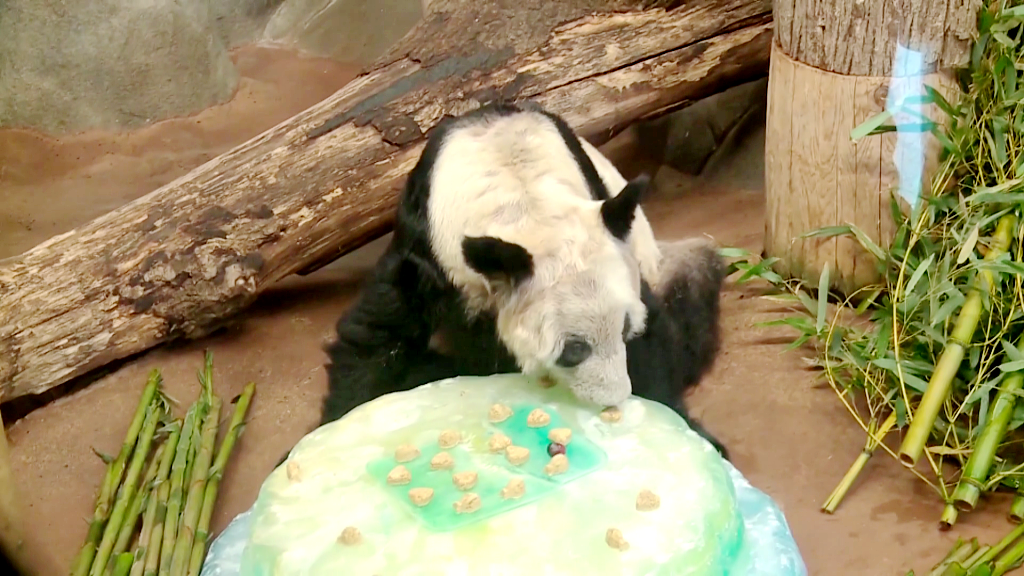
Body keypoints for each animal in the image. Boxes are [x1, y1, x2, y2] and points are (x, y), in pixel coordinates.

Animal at [319, 99, 729, 457]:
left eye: (626, 328)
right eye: (574, 349)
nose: (613, 397)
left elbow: (653, 341)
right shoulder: (428, 246)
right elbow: (381, 335)